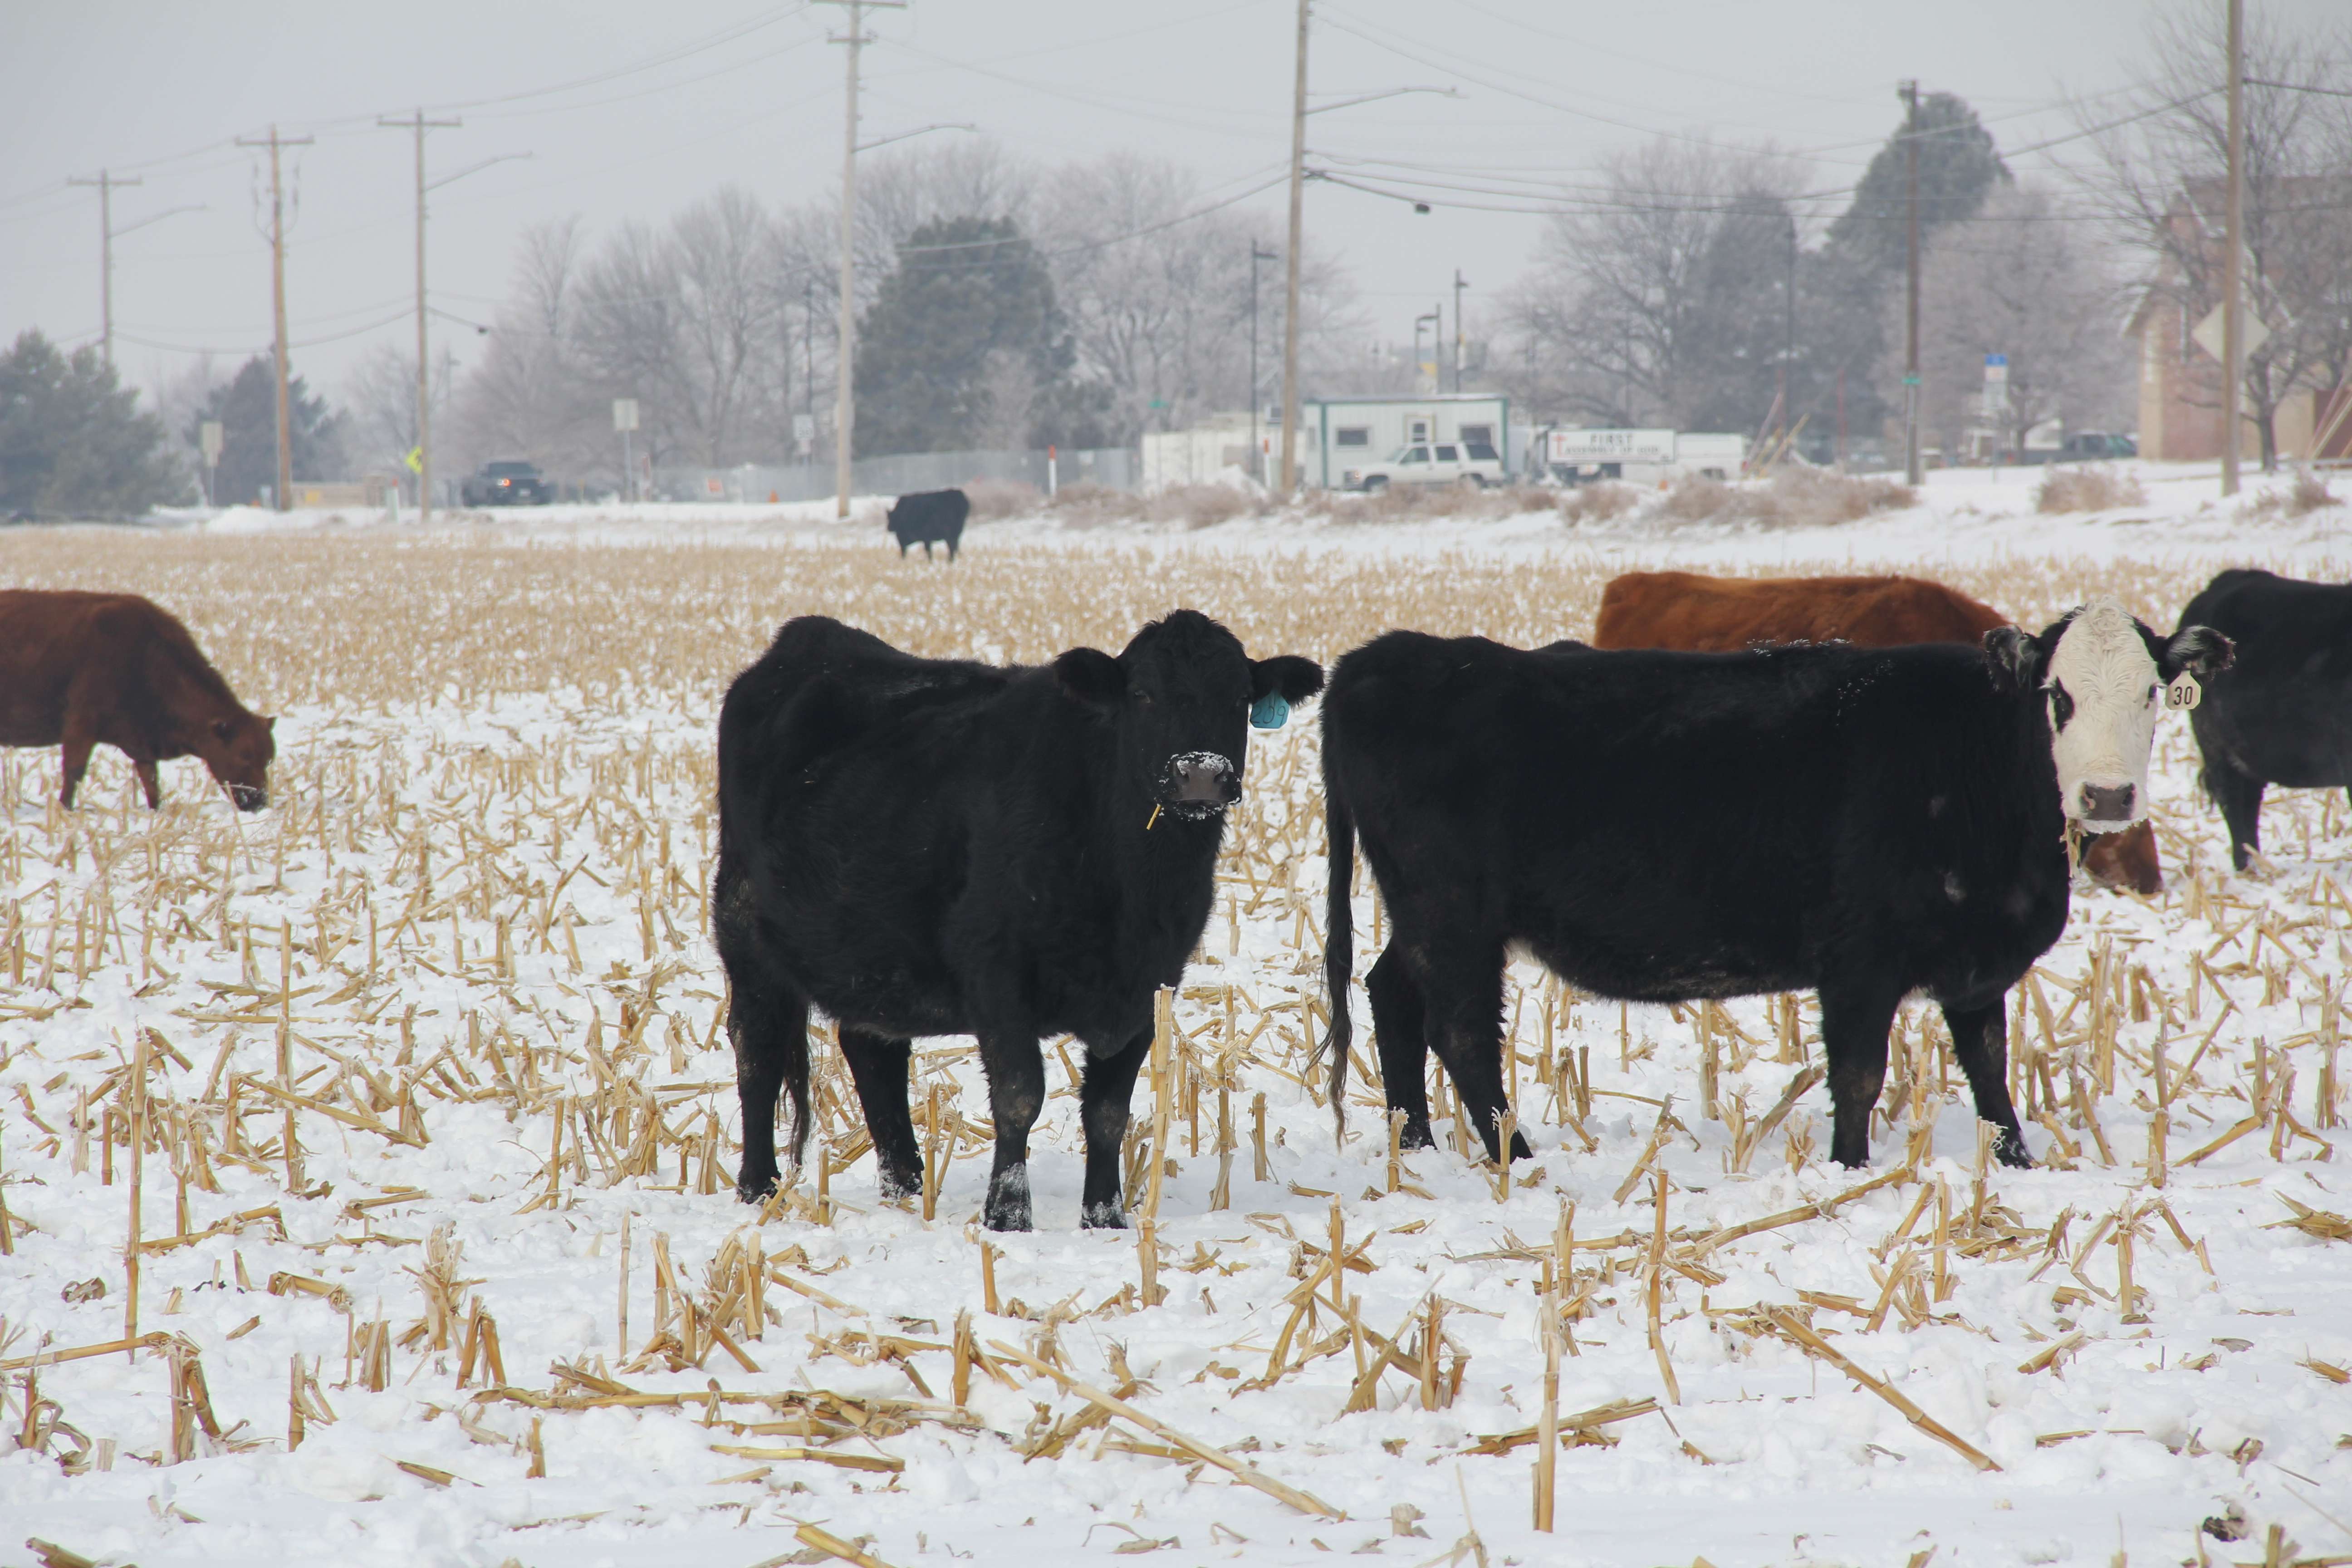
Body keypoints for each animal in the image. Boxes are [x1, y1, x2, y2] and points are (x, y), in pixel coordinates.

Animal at [0, 590, 275, 812]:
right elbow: (74, 772)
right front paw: (65, 811)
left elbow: (151, 781)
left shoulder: (141, 744)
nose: (260, 802)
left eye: (269, 759)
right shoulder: (81, 724)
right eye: (244, 757)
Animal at [714, 610, 1323, 1230]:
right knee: (757, 1047)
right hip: (744, 928)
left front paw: (1105, 1216)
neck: (1132, 892)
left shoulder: (1151, 986)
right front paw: (1008, 1216)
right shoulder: (996, 973)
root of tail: (806, 637)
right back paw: (759, 1187)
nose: (1199, 775)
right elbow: (1019, 1096)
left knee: (873, 1052)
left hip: (869, 944)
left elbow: (1109, 1110)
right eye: (1143, 694)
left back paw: (907, 1184)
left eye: (1240, 697)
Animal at [885, 489, 970, 561]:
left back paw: (950, 560)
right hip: (956, 533)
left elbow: (928, 551)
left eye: (892, 518)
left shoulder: (926, 538)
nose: (889, 528)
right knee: (956, 547)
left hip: (949, 534)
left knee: (951, 546)